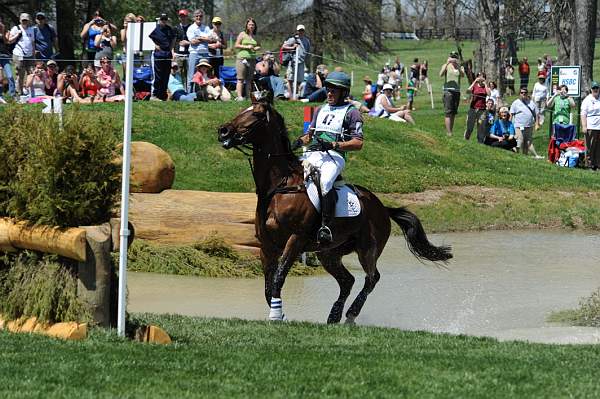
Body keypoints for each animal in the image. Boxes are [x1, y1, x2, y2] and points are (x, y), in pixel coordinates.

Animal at [218, 94, 452, 324]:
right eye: (242, 110)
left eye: (256, 114)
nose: (223, 131)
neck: (279, 187)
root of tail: (383, 208)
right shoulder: (267, 246)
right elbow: (268, 287)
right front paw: (280, 315)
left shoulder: (295, 240)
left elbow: (278, 278)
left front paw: (276, 317)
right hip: (329, 253)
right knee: (347, 280)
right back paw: (334, 316)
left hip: (367, 249)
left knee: (372, 278)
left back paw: (350, 315)